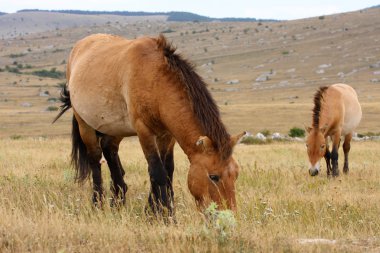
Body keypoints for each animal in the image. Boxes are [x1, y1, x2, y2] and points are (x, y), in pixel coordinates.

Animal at [53, 33, 245, 214]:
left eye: (236, 174)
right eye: (214, 176)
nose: (228, 213)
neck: (155, 79)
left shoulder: (167, 135)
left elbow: (167, 171)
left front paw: (154, 210)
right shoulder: (144, 131)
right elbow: (157, 172)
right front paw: (164, 214)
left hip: (115, 128)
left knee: (109, 150)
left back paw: (117, 201)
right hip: (84, 124)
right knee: (95, 159)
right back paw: (97, 204)